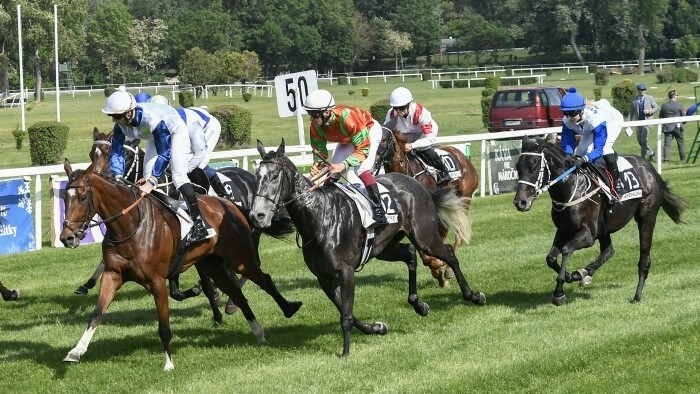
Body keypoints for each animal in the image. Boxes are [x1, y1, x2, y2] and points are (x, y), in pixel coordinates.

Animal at [60, 160, 300, 370]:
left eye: (82, 197)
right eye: (64, 197)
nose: (66, 238)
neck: (131, 226)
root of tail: (230, 204)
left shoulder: (157, 281)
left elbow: (164, 326)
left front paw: (169, 363)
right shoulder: (113, 274)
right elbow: (96, 314)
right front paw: (76, 350)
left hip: (241, 259)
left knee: (264, 280)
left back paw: (288, 308)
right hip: (212, 264)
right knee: (238, 295)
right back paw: (257, 331)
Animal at [374, 127, 478, 288]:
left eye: (384, 139)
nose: (374, 160)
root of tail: (462, 156)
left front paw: (439, 266)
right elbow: (424, 252)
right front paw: (437, 270)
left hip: (464, 199)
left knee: (458, 233)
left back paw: (448, 270)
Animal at [512, 137, 688, 306]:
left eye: (533, 166)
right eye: (517, 167)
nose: (520, 202)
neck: (571, 188)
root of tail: (651, 170)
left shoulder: (589, 234)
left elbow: (567, 249)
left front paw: (559, 293)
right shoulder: (563, 230)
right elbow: (550, 258)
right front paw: (571, 275)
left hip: (647, 218)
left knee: (644, 261)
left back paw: (637, 296)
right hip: (605, 228)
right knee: (608, 251)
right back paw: (584, 272)